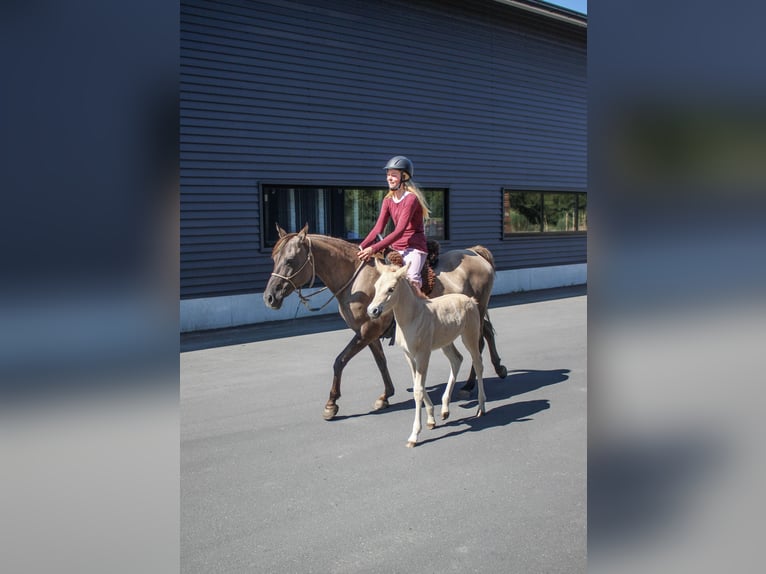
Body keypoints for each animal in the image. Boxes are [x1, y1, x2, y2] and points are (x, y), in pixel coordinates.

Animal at [263, 223, 505, 420]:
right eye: (274, 259)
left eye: (290, 260)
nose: (269, 297)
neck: (356, 280)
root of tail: (477, 253)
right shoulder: (367, 332)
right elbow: (380, 362)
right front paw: (386, 395)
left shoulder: (368, 329)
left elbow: (340, 361)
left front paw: (331, 404)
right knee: (487, 333)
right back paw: (498, 369)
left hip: (475, 313)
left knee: (479, 344)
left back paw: (470, 384)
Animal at [368, 261, 486, 447]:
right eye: (376, 286)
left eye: (391, 289)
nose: (372, 311)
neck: (412, 318)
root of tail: (471, 300)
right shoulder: (409, 355)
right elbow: (419, 385)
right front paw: (431, 419)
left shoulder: (423, 353)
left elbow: (418, 389)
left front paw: (414, 435)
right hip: (446, 342)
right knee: (457, 360)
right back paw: (445, 409)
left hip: (470, 336)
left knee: (478, 363)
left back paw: (481, 407)